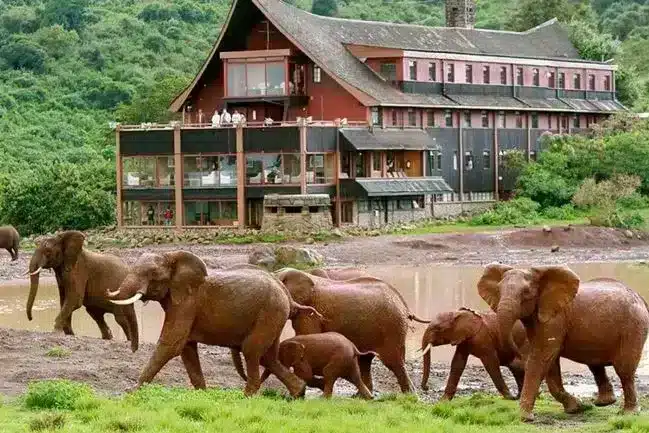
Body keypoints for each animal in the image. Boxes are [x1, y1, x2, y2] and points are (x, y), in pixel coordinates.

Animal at [274, 266, 422, 392]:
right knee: (366, 361)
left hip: (392, 327)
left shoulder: (310, 313)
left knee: (394, 361)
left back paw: (410, 395)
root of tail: (402, 302)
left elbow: (307, 336)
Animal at [476, 262, 648, 420]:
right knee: (595, 364)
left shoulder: (554, 319)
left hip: (634, 326)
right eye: (498, 291)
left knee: (624, 370)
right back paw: (603, 403)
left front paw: (525, 417)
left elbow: (541, 357)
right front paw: (577, 408)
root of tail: (640, 298)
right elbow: (550, 365)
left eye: (526, 292)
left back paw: (629, 413)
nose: (517, 358)